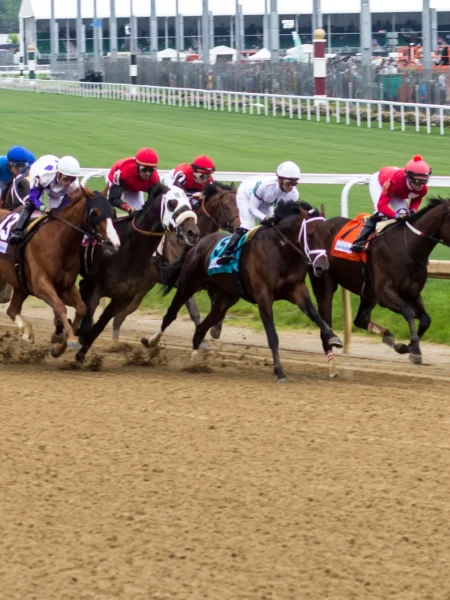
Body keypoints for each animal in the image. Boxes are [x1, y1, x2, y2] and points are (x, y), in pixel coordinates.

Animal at [0, 188, 119, 356]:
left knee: (12, 310)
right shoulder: (41, 285)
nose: (112, 243)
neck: (60, 242)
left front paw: (60, 344)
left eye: (113, 212)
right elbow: (60, 306)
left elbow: (81, 308)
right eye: (94, 213)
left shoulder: (65, 286)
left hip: (19, 284)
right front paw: (69, 338)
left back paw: (27, 332)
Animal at [75, 184, 199, 360]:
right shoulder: (94, 288)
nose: (193, 233)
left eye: (189, 204)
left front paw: (81, 354)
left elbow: (98, 327)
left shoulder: (123, 298)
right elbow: (87, 322)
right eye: (172, 204)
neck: (128, 251)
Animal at [109, 180, 241, 344]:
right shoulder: (183, 281)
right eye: (226, 206)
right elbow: (194, 312)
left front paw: (216, 329)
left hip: (145, 283)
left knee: (123, 313)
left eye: (239, 204)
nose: (238, 227)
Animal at [142, 199, 342, 382]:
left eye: (327, 235)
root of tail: (197, 244)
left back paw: (194, 361)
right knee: (170, 315)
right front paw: (279, 371)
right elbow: (272, 335)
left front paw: (334, 338)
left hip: (225, 299)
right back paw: (151, 342)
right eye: (310, 234)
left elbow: (316, 315)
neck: (280, 252)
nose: (322, 268)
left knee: (201, 328)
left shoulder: (297, 290)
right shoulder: (263, 296)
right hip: (187, 285)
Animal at [310, 198, 450, 376]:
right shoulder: (385, 294)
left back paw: (387, 336)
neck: (407, 248)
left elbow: (426, 319)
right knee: (325, 321)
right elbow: (408, 313)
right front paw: (415, 350)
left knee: (360, 319)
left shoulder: (413, 294)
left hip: (367, 291)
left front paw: (406, 346)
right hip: (324, 281)